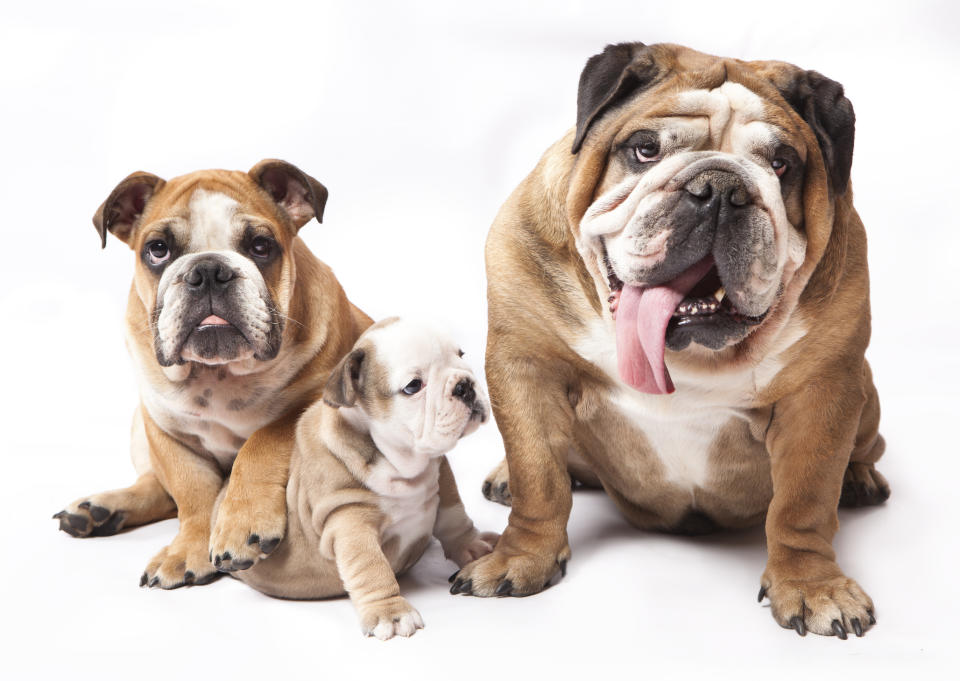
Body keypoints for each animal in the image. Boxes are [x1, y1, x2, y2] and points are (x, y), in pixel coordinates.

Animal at [54, 161, 372, 588]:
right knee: (157, 485)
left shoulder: (309, 405)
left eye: (260, 246)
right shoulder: (164, 426)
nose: (207, 270)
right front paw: (188, 549)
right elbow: (190, 489)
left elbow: (260, 443)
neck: (219, 373)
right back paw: (100, 508)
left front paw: (242, 524)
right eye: (157, 249)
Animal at [223, 318, 496, 636]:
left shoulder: (443, 479)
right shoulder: (350, 521)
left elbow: (455, 519)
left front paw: (474, 546)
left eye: (461, 356)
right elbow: (370, 567)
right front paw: (390, 612)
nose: (464, 385)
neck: (403, 462)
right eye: (413, 386)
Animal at [454, 42, 888, 636]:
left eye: (782, 165)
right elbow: (538, 476)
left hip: (865, 394)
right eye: (645, 149)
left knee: (865, 449)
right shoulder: (525, 365)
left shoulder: (824, 392)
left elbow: (804, 501)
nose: (720, 188)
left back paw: (861, 478)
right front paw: (521, 558)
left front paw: (812, 586)